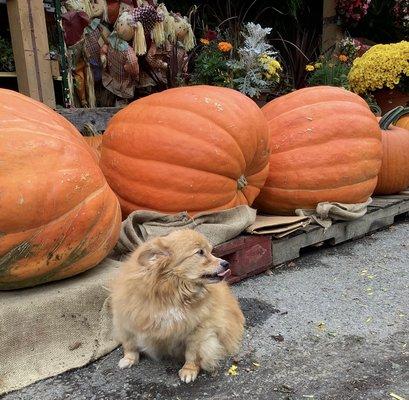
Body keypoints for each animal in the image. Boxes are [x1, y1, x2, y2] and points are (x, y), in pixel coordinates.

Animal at [110, 228, 244, 382]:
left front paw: (189, 370)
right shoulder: (126, 320)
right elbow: (130, 344)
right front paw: (129, 359)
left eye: (210, 251)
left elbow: (192, 353)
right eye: (200, 252)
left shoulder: (199, 330)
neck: (171, 294)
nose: (226, 263)